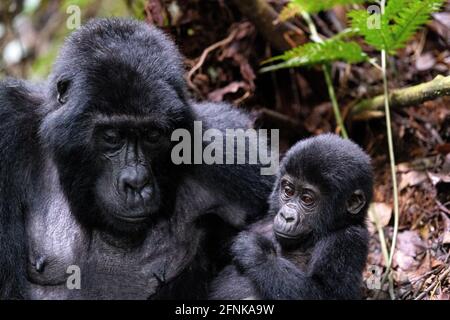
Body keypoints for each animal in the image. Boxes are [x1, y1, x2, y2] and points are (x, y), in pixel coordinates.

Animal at [211, 134, 372, 300]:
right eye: (288, 190)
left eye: (307, 199)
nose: (286, 216)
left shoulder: (349, 238)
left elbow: (326, 293)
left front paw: (257, 252)